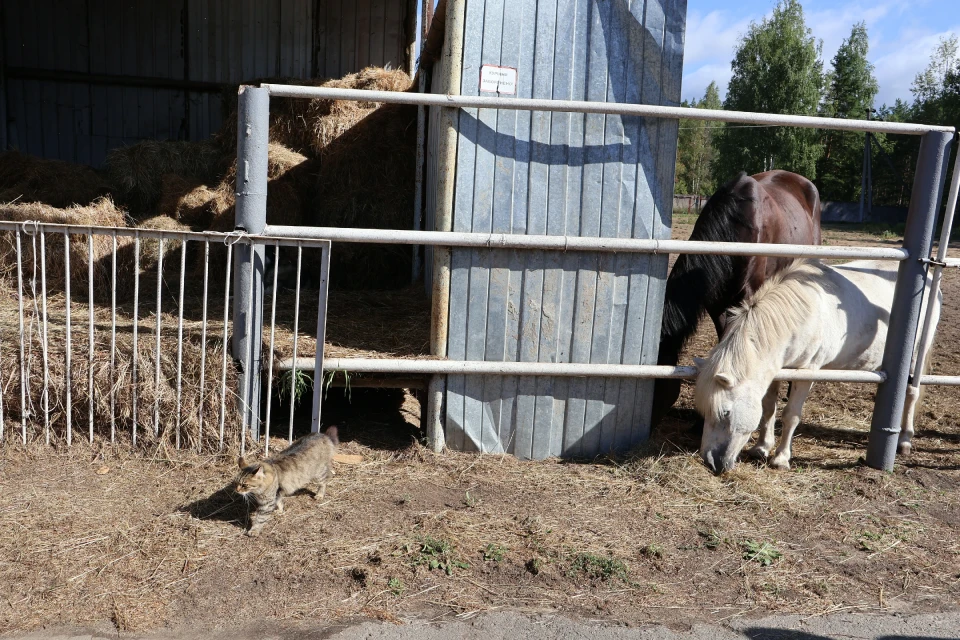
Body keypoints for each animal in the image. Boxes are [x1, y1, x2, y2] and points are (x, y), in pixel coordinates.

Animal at [692, 258, 940, 472]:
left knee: (912, 393)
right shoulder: (776, 371)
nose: (711, 461)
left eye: (725, 412)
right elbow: (768, 408)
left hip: (916, 355)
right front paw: (761, 447)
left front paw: (781, 458)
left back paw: (905, 440)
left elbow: (791, 415)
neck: (800, 315)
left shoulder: (806, 372)